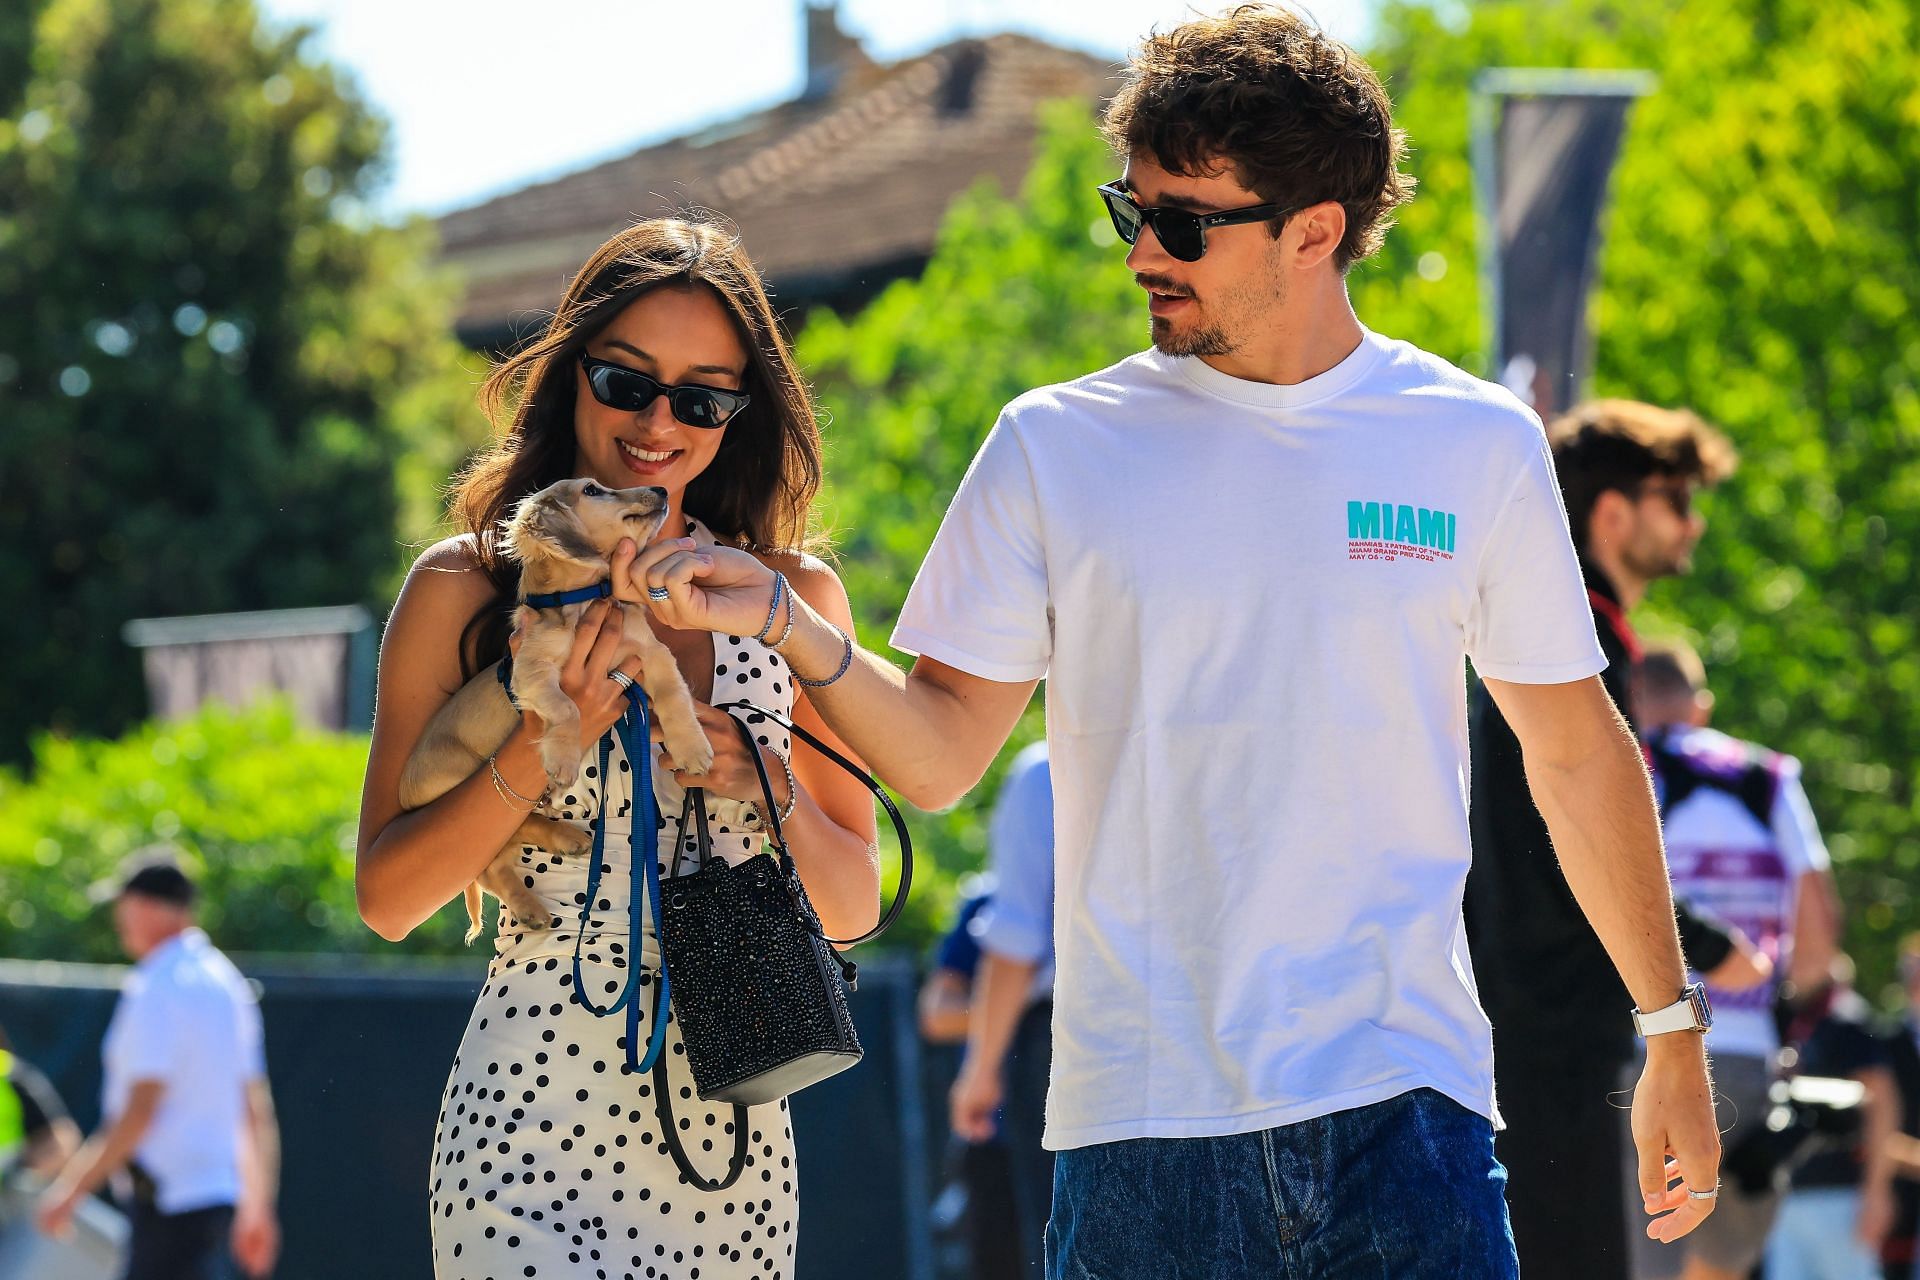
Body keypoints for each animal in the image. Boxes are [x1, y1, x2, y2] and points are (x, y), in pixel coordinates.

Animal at [401, 477, 718, 940]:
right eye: (593, 489)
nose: (661, 489)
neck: (585, 603)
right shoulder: (533, 673)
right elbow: (569, 709)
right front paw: (565, 760)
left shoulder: (651, 654)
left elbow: (675, 697)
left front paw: (692, 748)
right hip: (459, 776)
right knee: (496, 857)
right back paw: (540, 884)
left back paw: (562, 842)